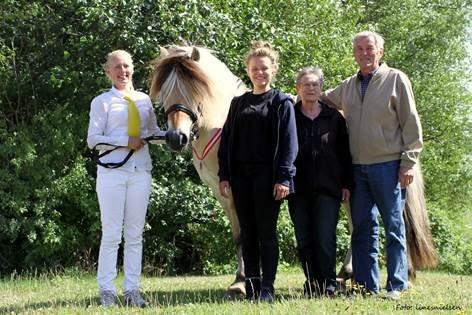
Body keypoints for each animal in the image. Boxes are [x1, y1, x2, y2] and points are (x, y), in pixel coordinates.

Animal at [149, 44, 436, 296]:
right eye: (165, 92)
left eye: (194, 90)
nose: (176, 138)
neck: (221, 126)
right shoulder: (225, 194)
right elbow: (240, 235)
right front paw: (240, 281)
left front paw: (246, 283)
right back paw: (350, 275)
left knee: (383, 224)